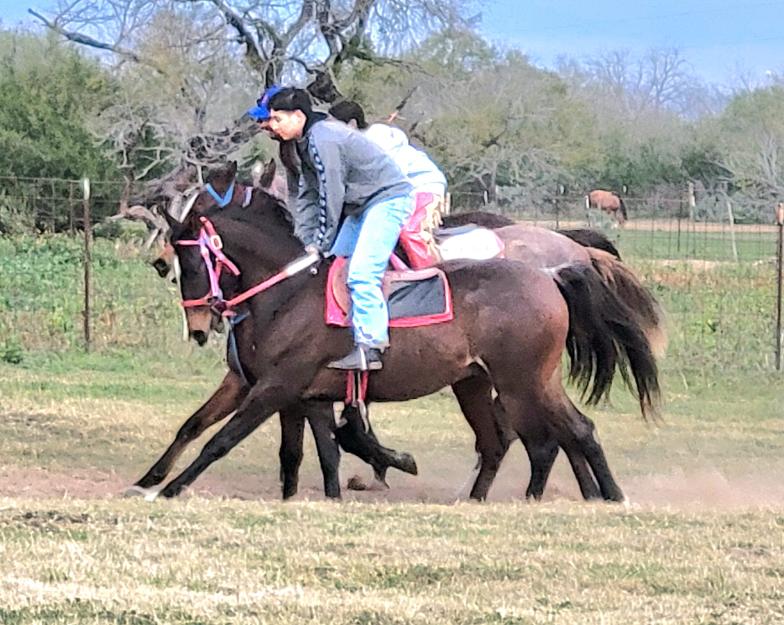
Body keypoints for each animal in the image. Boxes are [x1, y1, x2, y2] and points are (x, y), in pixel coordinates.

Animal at [152, 183, 660, 503]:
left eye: (191, 260)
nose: (199, 324)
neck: (288, 291)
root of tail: (551, 273)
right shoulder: (280, 390)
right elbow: (285, 448)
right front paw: (150, 479)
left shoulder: (277, 387)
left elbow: (222, 440)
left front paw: (171, 488)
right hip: (485, 384)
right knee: (518, 442)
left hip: (524, 383)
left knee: (568, 434)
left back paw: (607, 497)